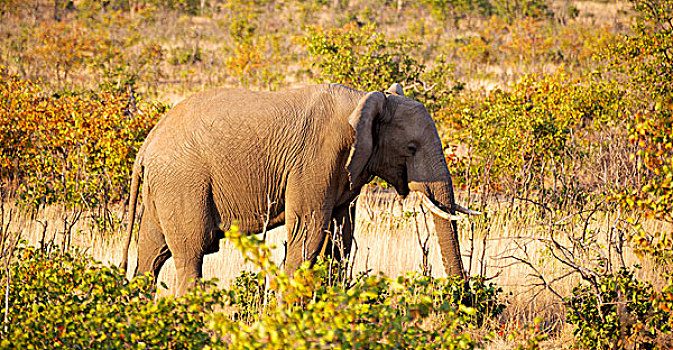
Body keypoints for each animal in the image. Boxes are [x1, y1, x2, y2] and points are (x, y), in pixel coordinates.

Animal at [121, 82, 478, 296]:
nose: (463, 297)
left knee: (151, 255)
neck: (366, 100)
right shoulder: (316, 160)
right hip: (182, 182)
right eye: (412, 148)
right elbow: (309, 234)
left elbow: (340, 239)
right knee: (191, 255)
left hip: (164, 187)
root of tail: (147, 144)